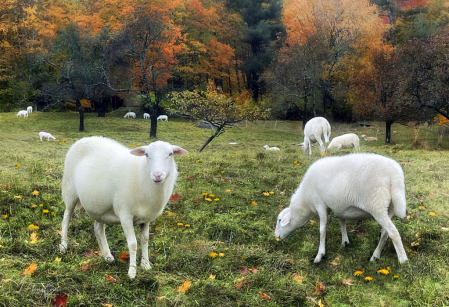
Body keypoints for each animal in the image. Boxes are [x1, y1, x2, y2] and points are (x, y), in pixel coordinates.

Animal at [59, 137, 187, 280]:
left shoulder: (146, 218)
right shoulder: (125, 214)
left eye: (170, 154)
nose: (157, 175)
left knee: (98, 228)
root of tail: (83, 139)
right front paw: (132, 272)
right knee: (66, 218)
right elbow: (133, 244)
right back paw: (63, 246)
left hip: (100, 207)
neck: (142, 174)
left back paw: (107, 255)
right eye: (147, 154)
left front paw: (146, 265)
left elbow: (145, 240)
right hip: (69, 190)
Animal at [274, 155, 408, 266]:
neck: (305, 201)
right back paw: (376, 255)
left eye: (279, 220)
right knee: (385, 233)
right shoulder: (339, 208)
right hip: (389, 207)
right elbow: (342, 223)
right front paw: (345, 242)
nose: (276, 237)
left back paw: (403, 260)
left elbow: (322, 230)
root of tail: (395, 173)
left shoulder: (319, 204)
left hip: (376, 204)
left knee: (393, 232)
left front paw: (320, 255)